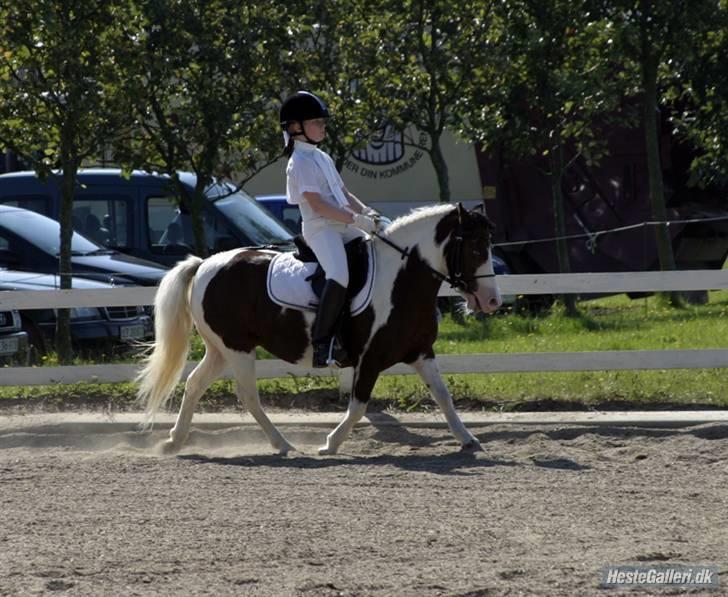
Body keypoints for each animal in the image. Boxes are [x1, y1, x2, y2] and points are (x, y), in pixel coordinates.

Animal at [138, 203, 500, 454]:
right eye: (475, 248)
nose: (492, 300)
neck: (402, 281)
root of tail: (205, 264)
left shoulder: (421, 352)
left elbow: (443, 395)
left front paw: (469, 440)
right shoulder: (369, 359)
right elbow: (359, 406)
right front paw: (331, 443)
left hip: (220, 350)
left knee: (194, 385)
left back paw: (174, 441)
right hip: (238, 349)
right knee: (248, 396)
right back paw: (282, 444)